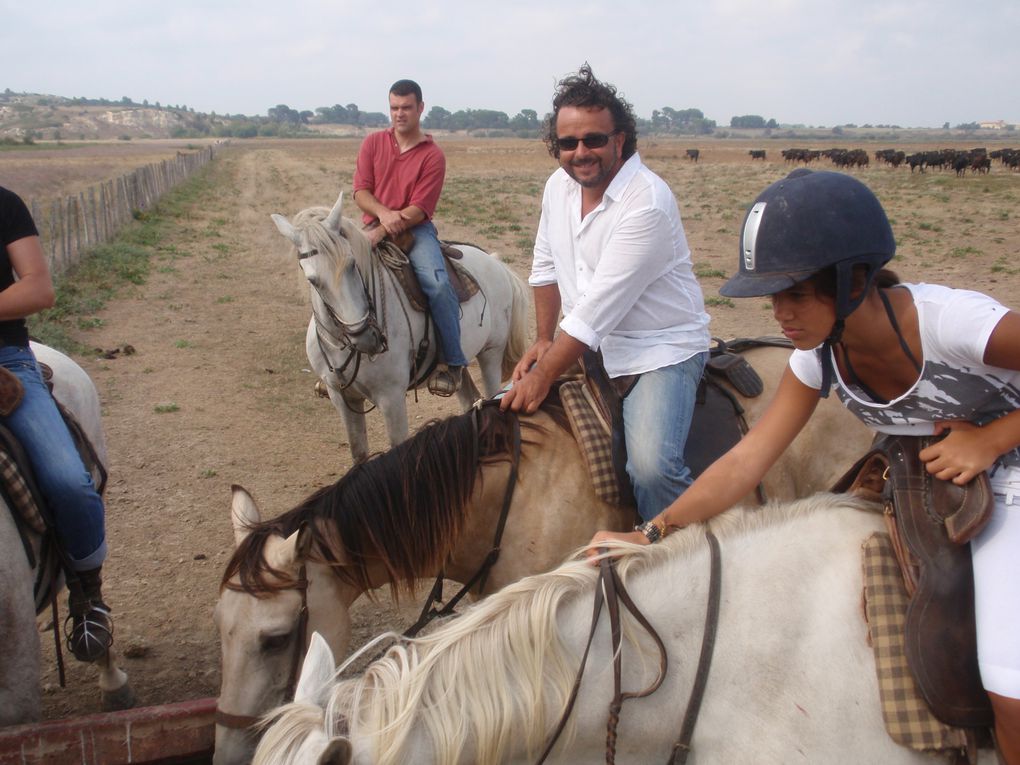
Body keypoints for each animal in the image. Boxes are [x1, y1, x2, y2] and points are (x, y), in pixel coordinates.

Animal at [267, 194, 530, 465]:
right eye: (313, 280)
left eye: (352, 264)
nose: (366, 338)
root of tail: (497, 263)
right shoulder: (342, 397)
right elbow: (359, 454)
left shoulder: (391, 398)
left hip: (491, 354)